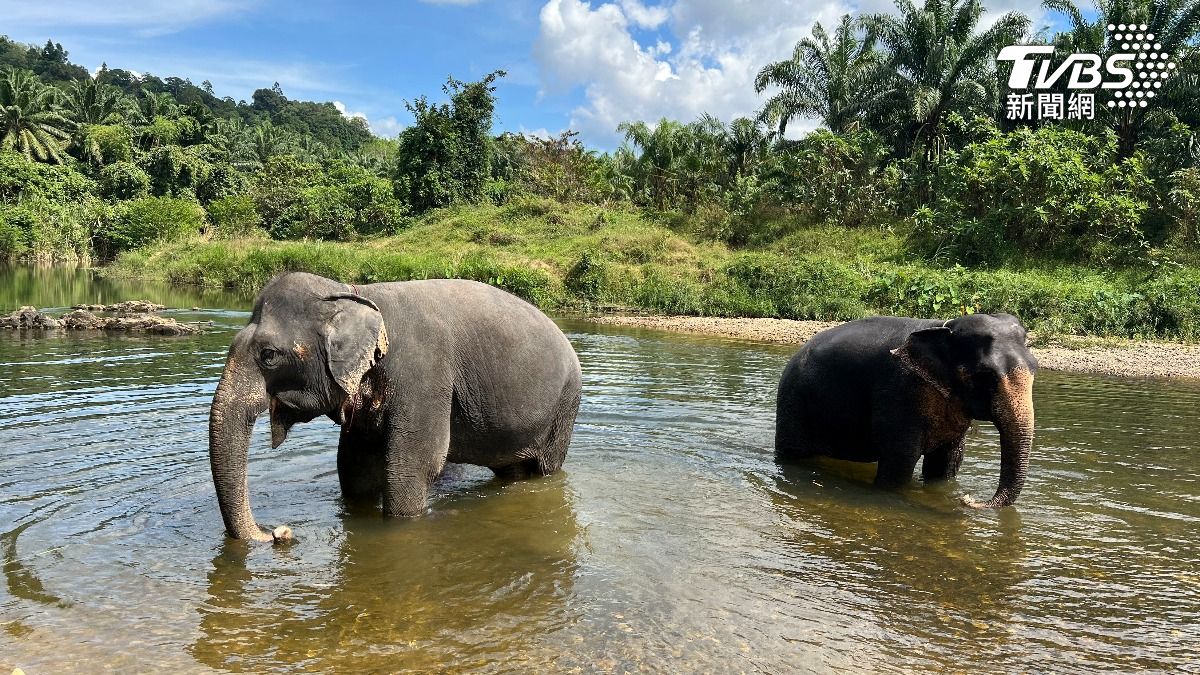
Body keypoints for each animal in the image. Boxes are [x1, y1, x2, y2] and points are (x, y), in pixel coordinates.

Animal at [209, 272, 582, 542]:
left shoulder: (423, 377)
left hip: (563, 410)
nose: (277, 533)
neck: (353, 294)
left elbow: (413, 466)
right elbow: (354, 467)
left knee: (545, 469)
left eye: (268, 355)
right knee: (512, 471)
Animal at [774, 313, 1037, 508]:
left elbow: (946, 462)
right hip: (793, 405)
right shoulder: (898, 392)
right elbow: (901, 458)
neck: (942, 327)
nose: (968, 499)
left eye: (1035, 367)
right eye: (984, 376)